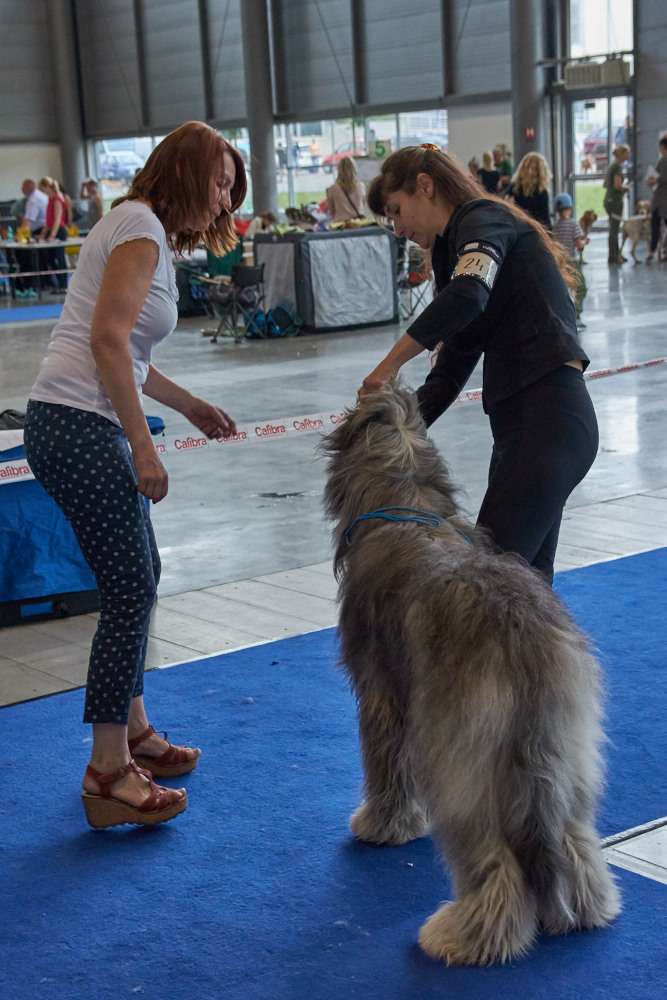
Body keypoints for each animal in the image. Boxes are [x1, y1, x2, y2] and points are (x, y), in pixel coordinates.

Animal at [321, 381, 620, 966]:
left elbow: (387, 764)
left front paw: (383, 825)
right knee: (572, 837)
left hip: (462, 759)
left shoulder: (382, 694)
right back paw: (587, 909)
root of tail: (521, 638)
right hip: (565, 746)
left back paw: (465, 937)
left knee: (492, 858)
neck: (409, 504)